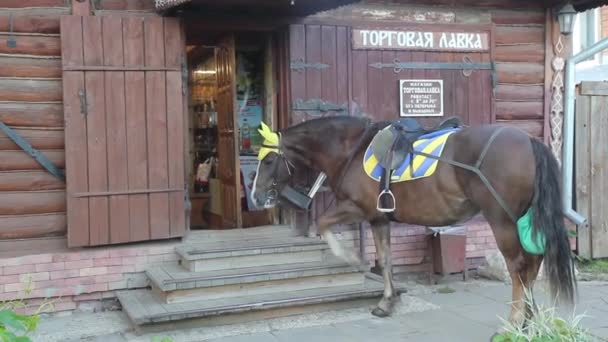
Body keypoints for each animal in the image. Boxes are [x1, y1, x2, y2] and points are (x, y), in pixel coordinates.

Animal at [249, 116, 576, 330]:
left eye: (268, 161)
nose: (255, 197)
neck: (351, 149)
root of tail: (529, 140)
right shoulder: (378, 218)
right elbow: (386, 260)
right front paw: (387, 302)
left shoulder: (356, 208)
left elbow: (323, 223)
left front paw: (352, 258)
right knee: (533, 263)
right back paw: (529, 319)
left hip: (502, 220)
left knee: (518, 267)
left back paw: (513, 322)